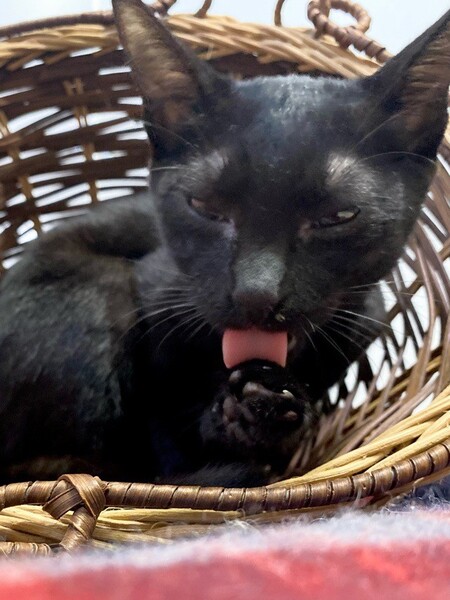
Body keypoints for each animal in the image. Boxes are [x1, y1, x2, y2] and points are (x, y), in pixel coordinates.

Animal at [0, 0, 448, 486]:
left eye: (338, 217)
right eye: (205, 207)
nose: (256, 294)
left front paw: (262, 412)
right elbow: (163, 440)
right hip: (102, 287)